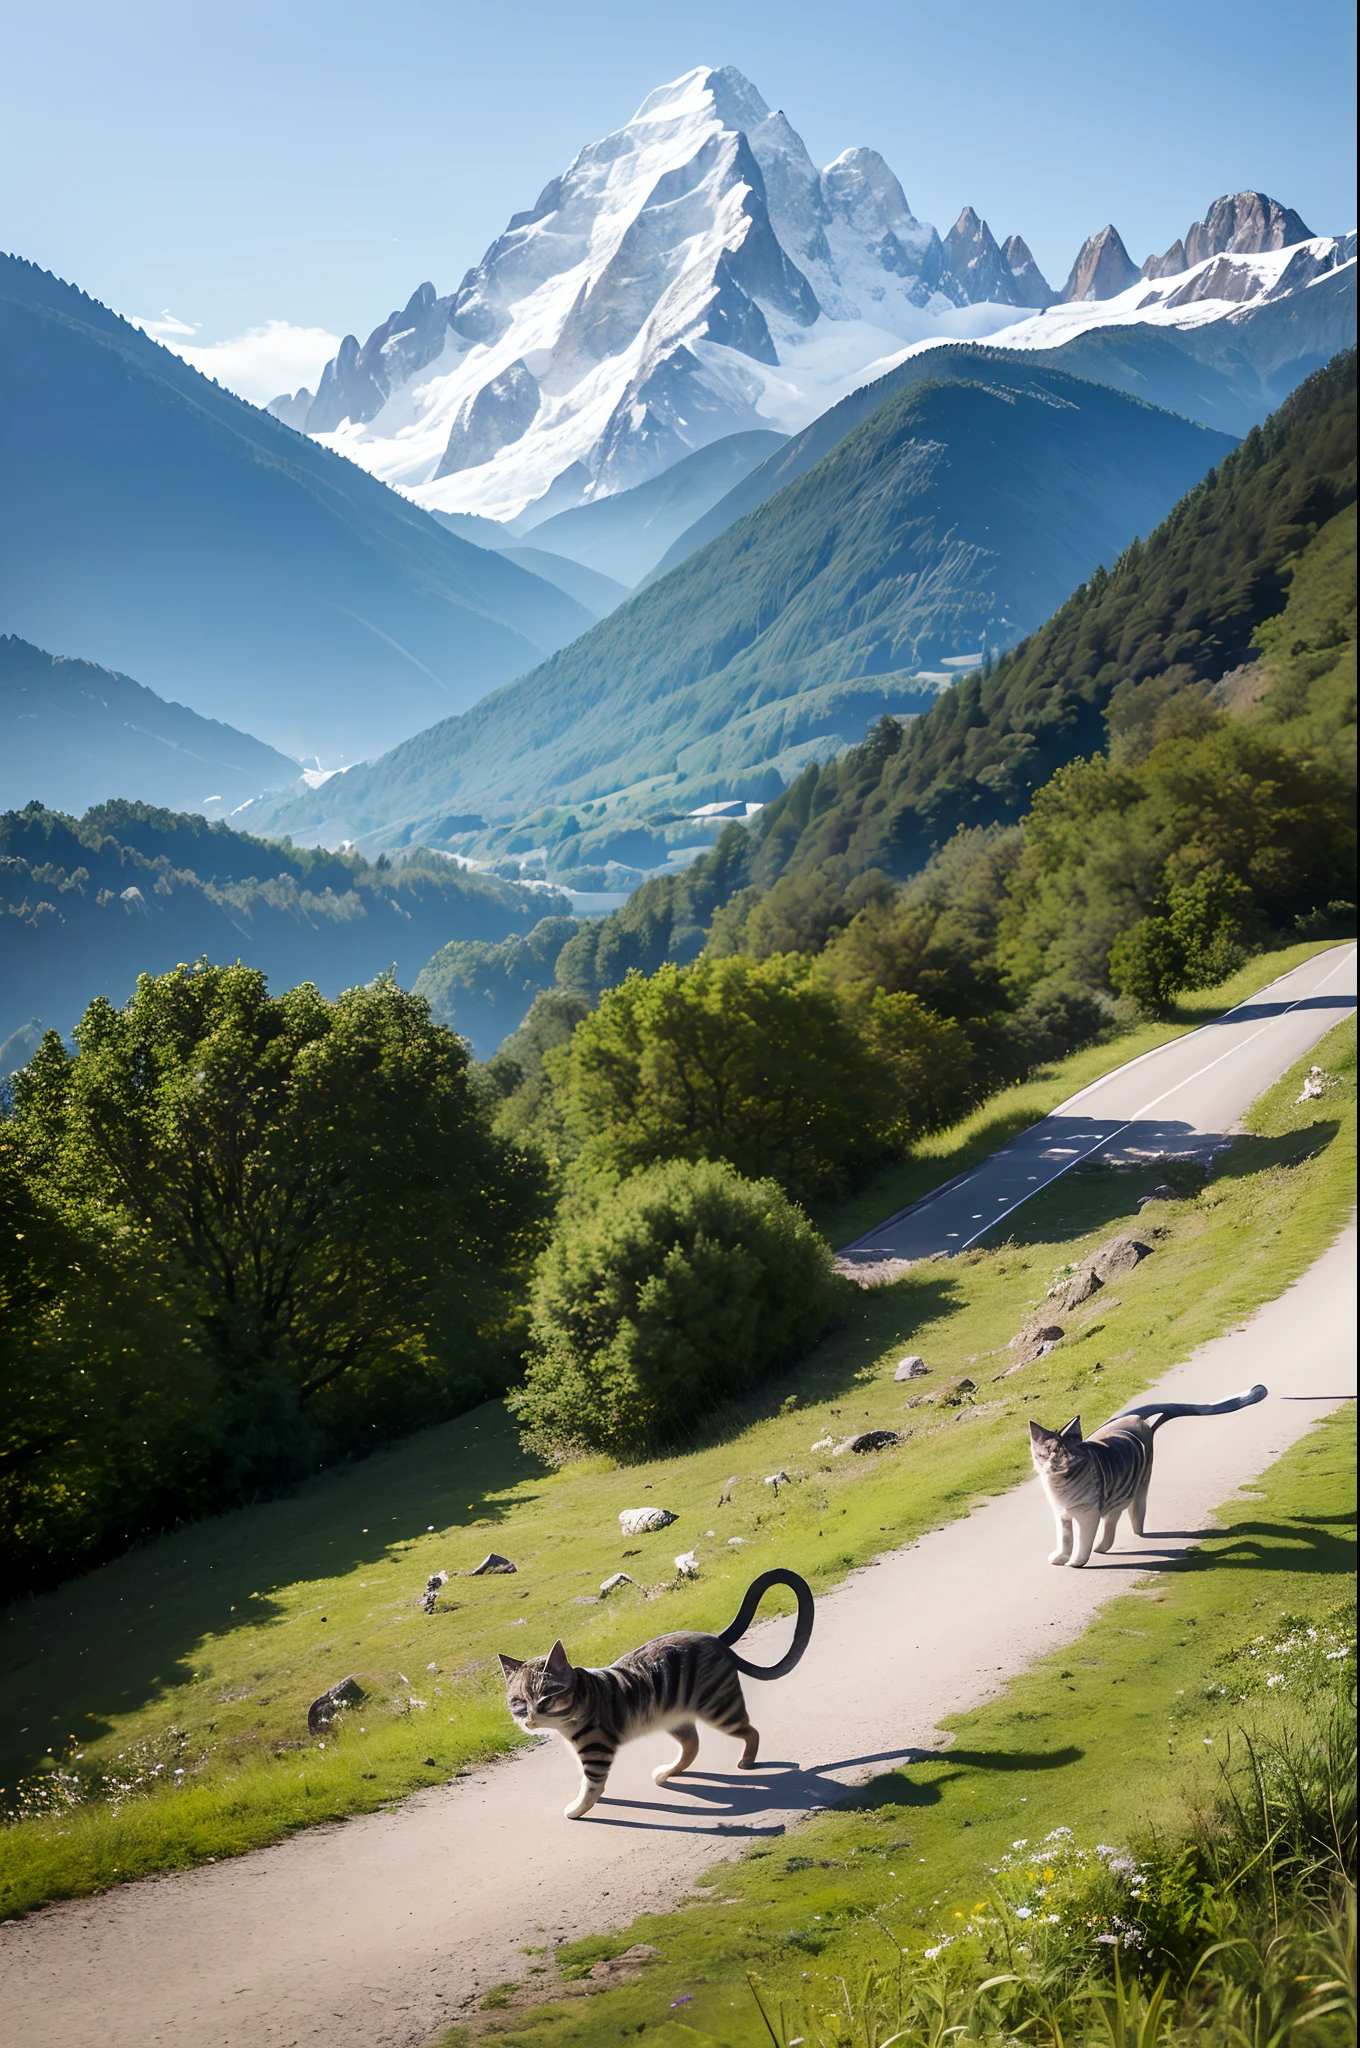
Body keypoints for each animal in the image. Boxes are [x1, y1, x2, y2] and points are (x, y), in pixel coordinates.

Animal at [499, 1564, 819, 1826]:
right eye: (518, 1703)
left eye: (546, 1697)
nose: (530, 1720)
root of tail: (715, 1638)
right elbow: (586, 1781)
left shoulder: (596, 1751)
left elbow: (592, 1787)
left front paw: (578, 1808)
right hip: (674, 1718)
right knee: (692, 1746)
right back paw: (667, 1773)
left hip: (720, 1709)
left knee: (750, 1731)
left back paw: (747, 1761)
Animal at [1024, 1392, 1269, 1564]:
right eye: (1048, 1452)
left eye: (1068, 1453)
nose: (1057, 1463)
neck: (1060, 1486)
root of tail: (1138, 1421)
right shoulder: (1061, 1514)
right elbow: (1064, 1538)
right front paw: (1060, 1557)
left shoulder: (1088, 1514)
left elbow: (1083, 1542)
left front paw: (1076, 1562)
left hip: (1136, 1486)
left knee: (1124, 1516)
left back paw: (1110, 1543)